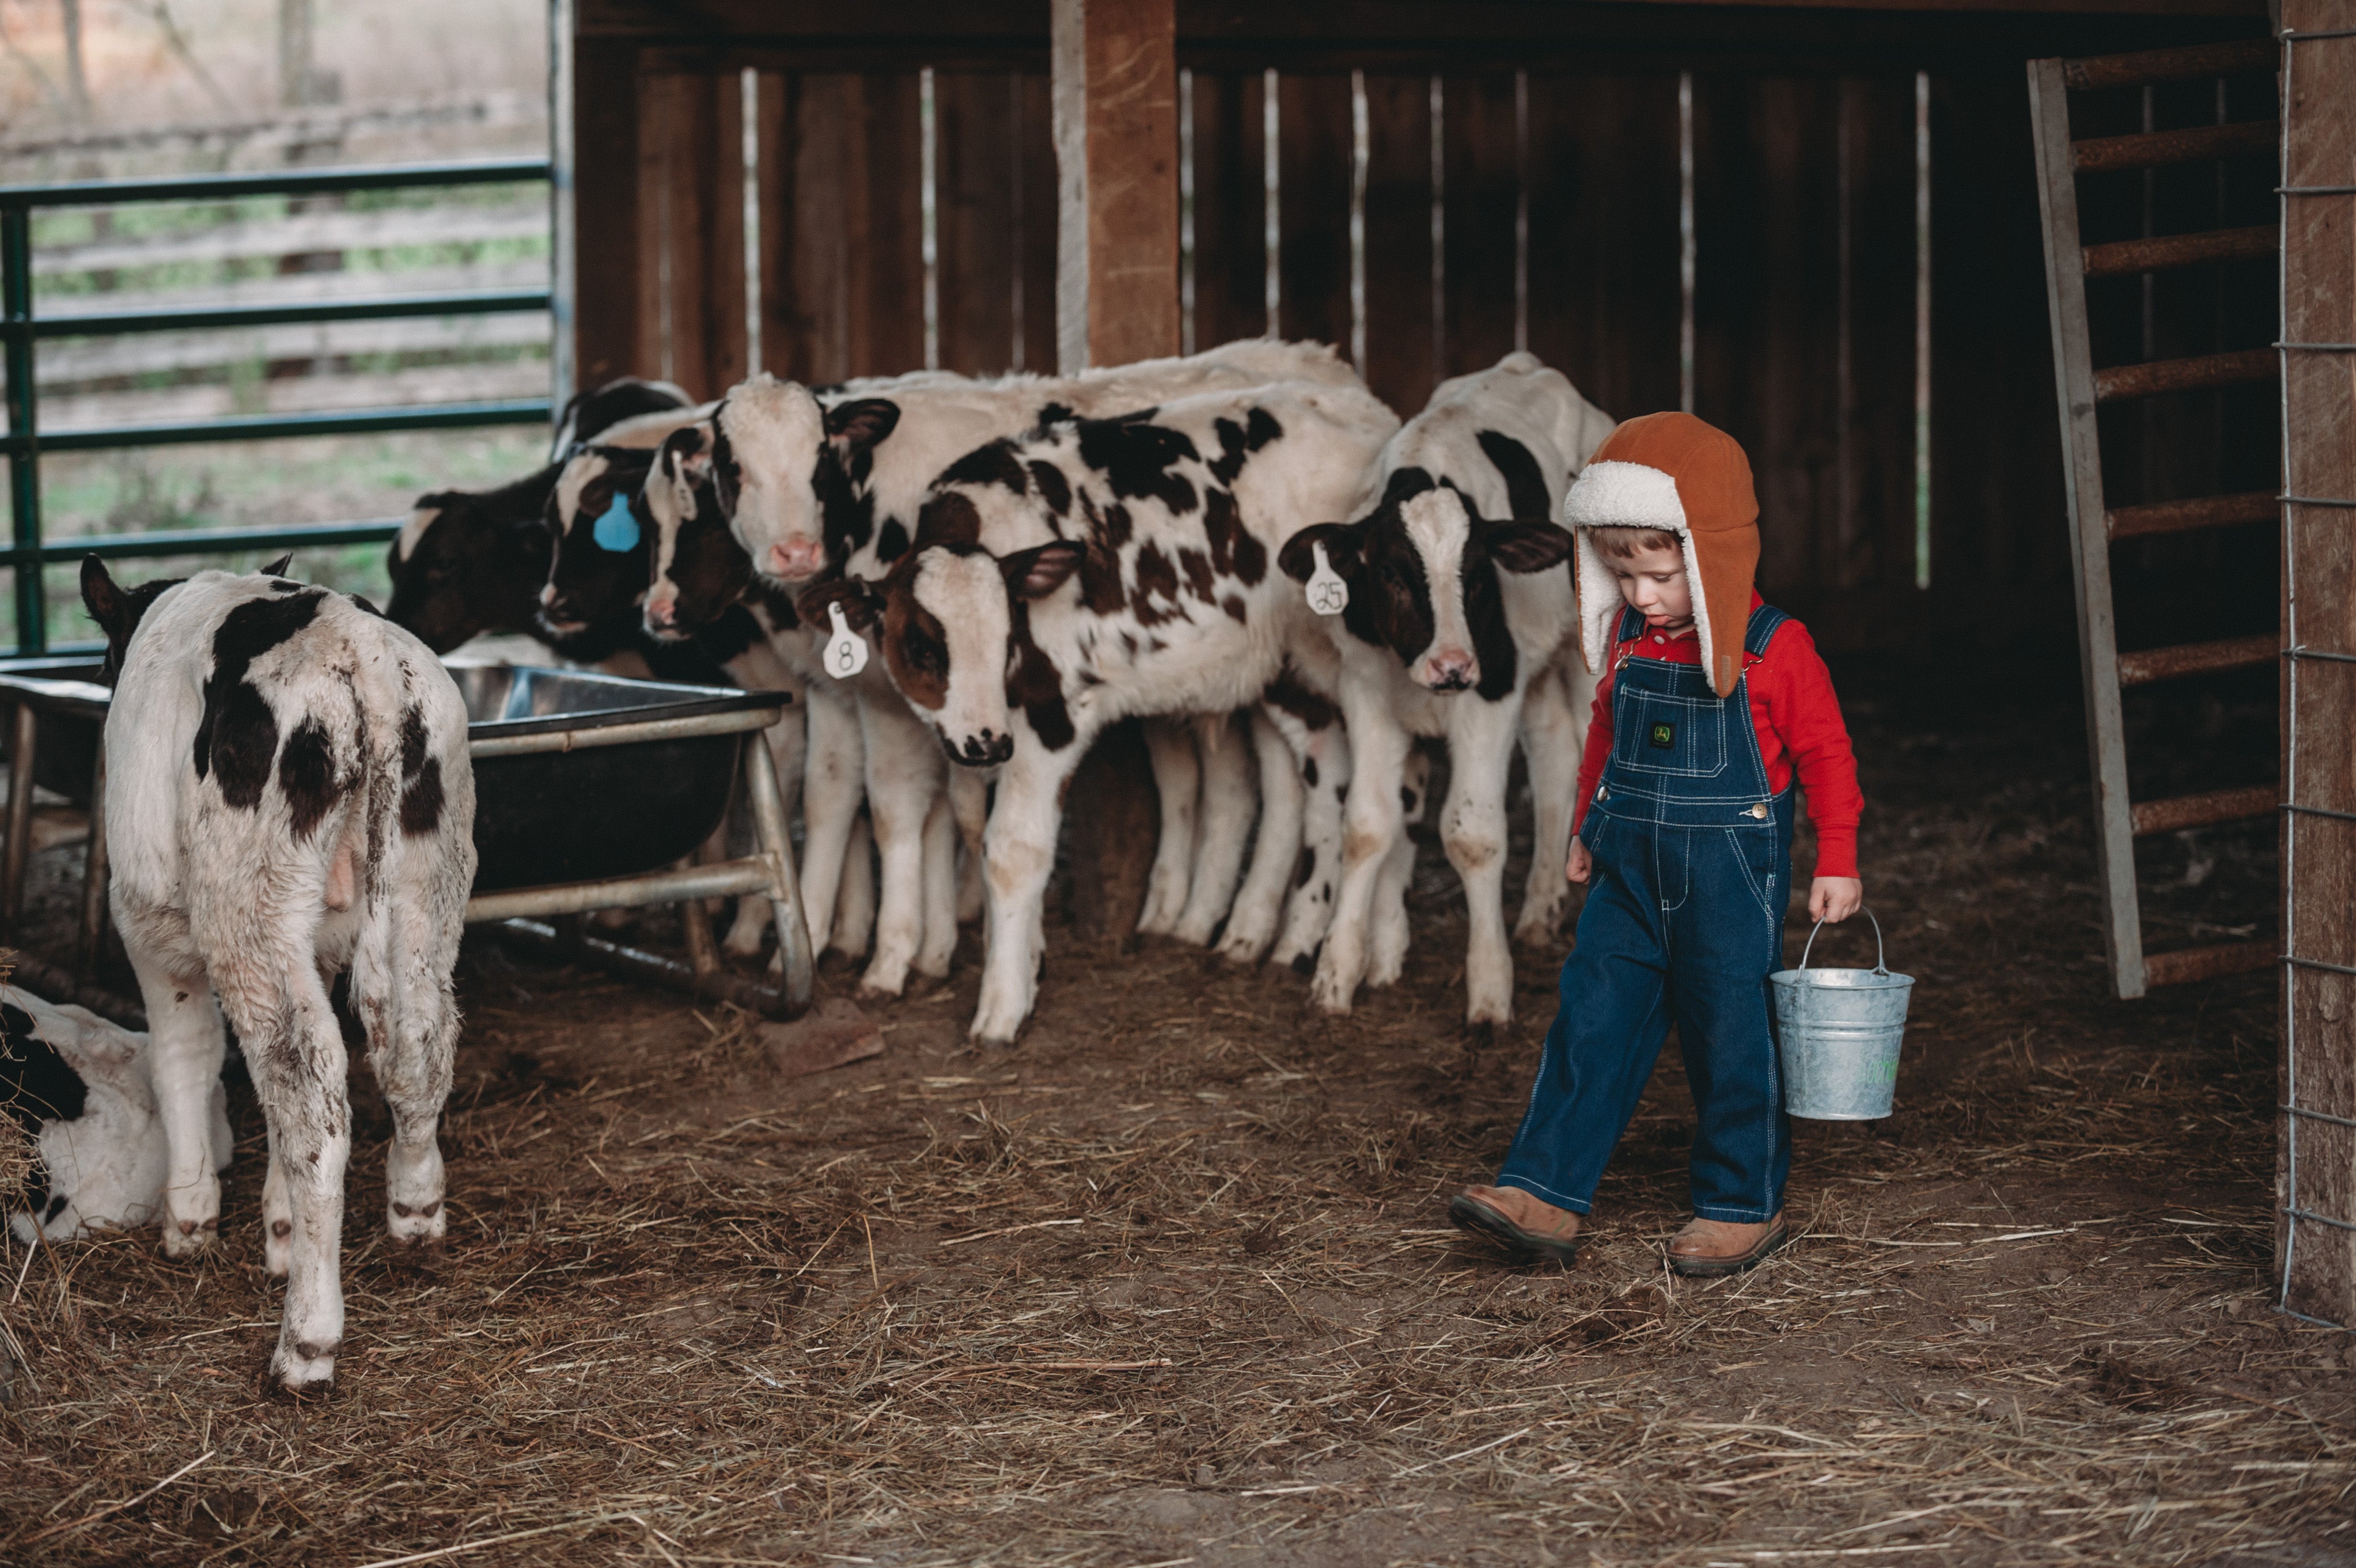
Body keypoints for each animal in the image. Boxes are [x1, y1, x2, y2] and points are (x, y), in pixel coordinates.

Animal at [83, 555, 478, 1384]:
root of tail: (356, 640)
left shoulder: (148, 922)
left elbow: (184, 1056)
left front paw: (191, 1215)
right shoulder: (319, 944)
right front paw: (281, 1226)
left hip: (244, 908)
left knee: (309, 1091)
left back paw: (307, 1339)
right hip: (428, 879)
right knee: (416, 1048)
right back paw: (415, 1213)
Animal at [810, 376, 1395, 1036]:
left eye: (1010, 634)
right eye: (919, 647)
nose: (988, 742)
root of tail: (1362, 406)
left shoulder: (1050, 715)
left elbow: (1011, 848)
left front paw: (1001, 1008)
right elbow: (975, 827)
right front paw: (1026, 959)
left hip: (1361, 658)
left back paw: (1354, 964)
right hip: (1285, 666)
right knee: (1323, 773)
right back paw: (1287, 941)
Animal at [1272, 348, 1620, 1021]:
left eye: (1480, 575)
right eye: (1388, 573)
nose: (1452, 666)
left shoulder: (1492, 689)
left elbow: (1473, 835)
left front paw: (1488, 990)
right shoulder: (1365, 692)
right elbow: (1366, 827)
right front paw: (1336, 975)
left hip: (1589, 648)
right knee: (1555, 758)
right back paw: (1538, 911)